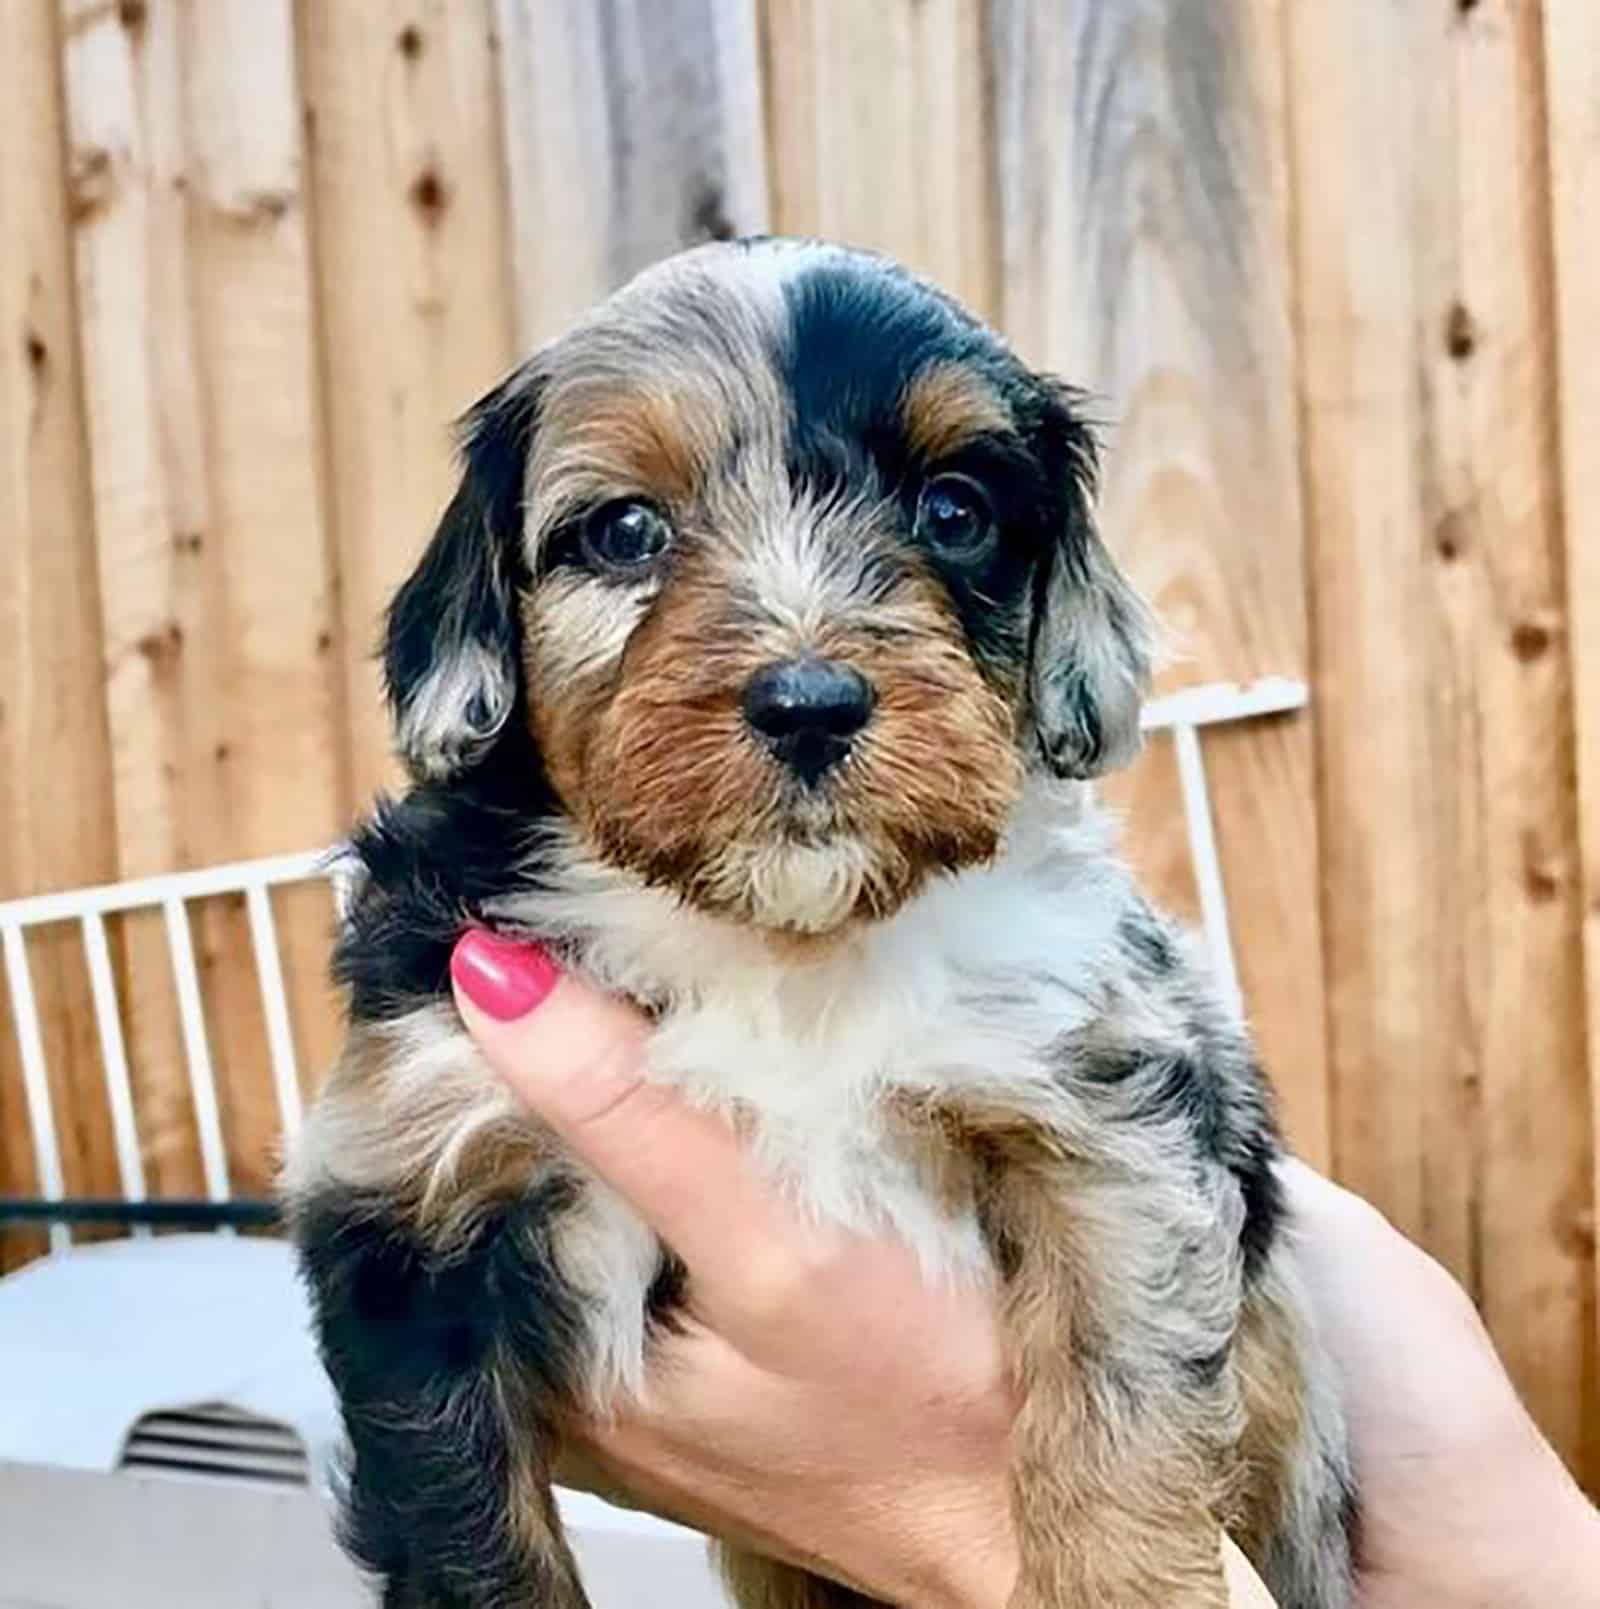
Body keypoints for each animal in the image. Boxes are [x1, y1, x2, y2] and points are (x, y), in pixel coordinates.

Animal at [283, 238, 1345, 1609]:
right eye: (624, 531)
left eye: (955, 511)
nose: (809, 701)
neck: (778, 943)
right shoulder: (405, 1205)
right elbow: (472, 1542)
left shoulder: (1113, 1119)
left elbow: (1120, 1389)